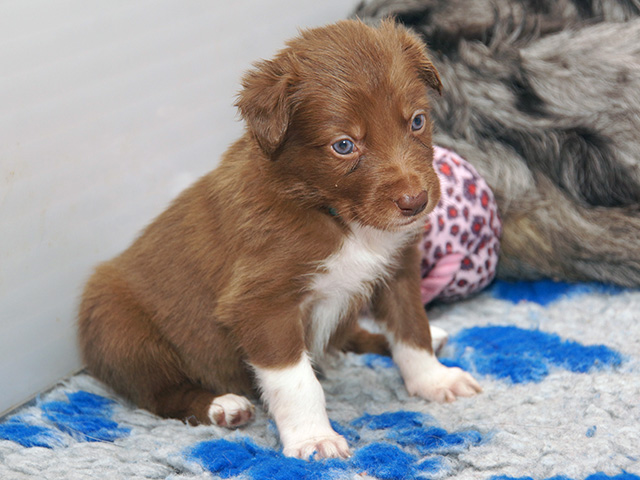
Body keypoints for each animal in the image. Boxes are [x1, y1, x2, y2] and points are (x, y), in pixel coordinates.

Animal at [78, 19, 481, 460]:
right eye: (344, 145)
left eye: (417, 122)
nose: (415, 202)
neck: (337, 218)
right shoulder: (262, 305)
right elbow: (298, 382)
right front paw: (313, 438)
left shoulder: (398, 271)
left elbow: (412, 331)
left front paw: (434, 380)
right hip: (122, 331)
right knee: (160, 395)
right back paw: (222, 406)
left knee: (351, 337)